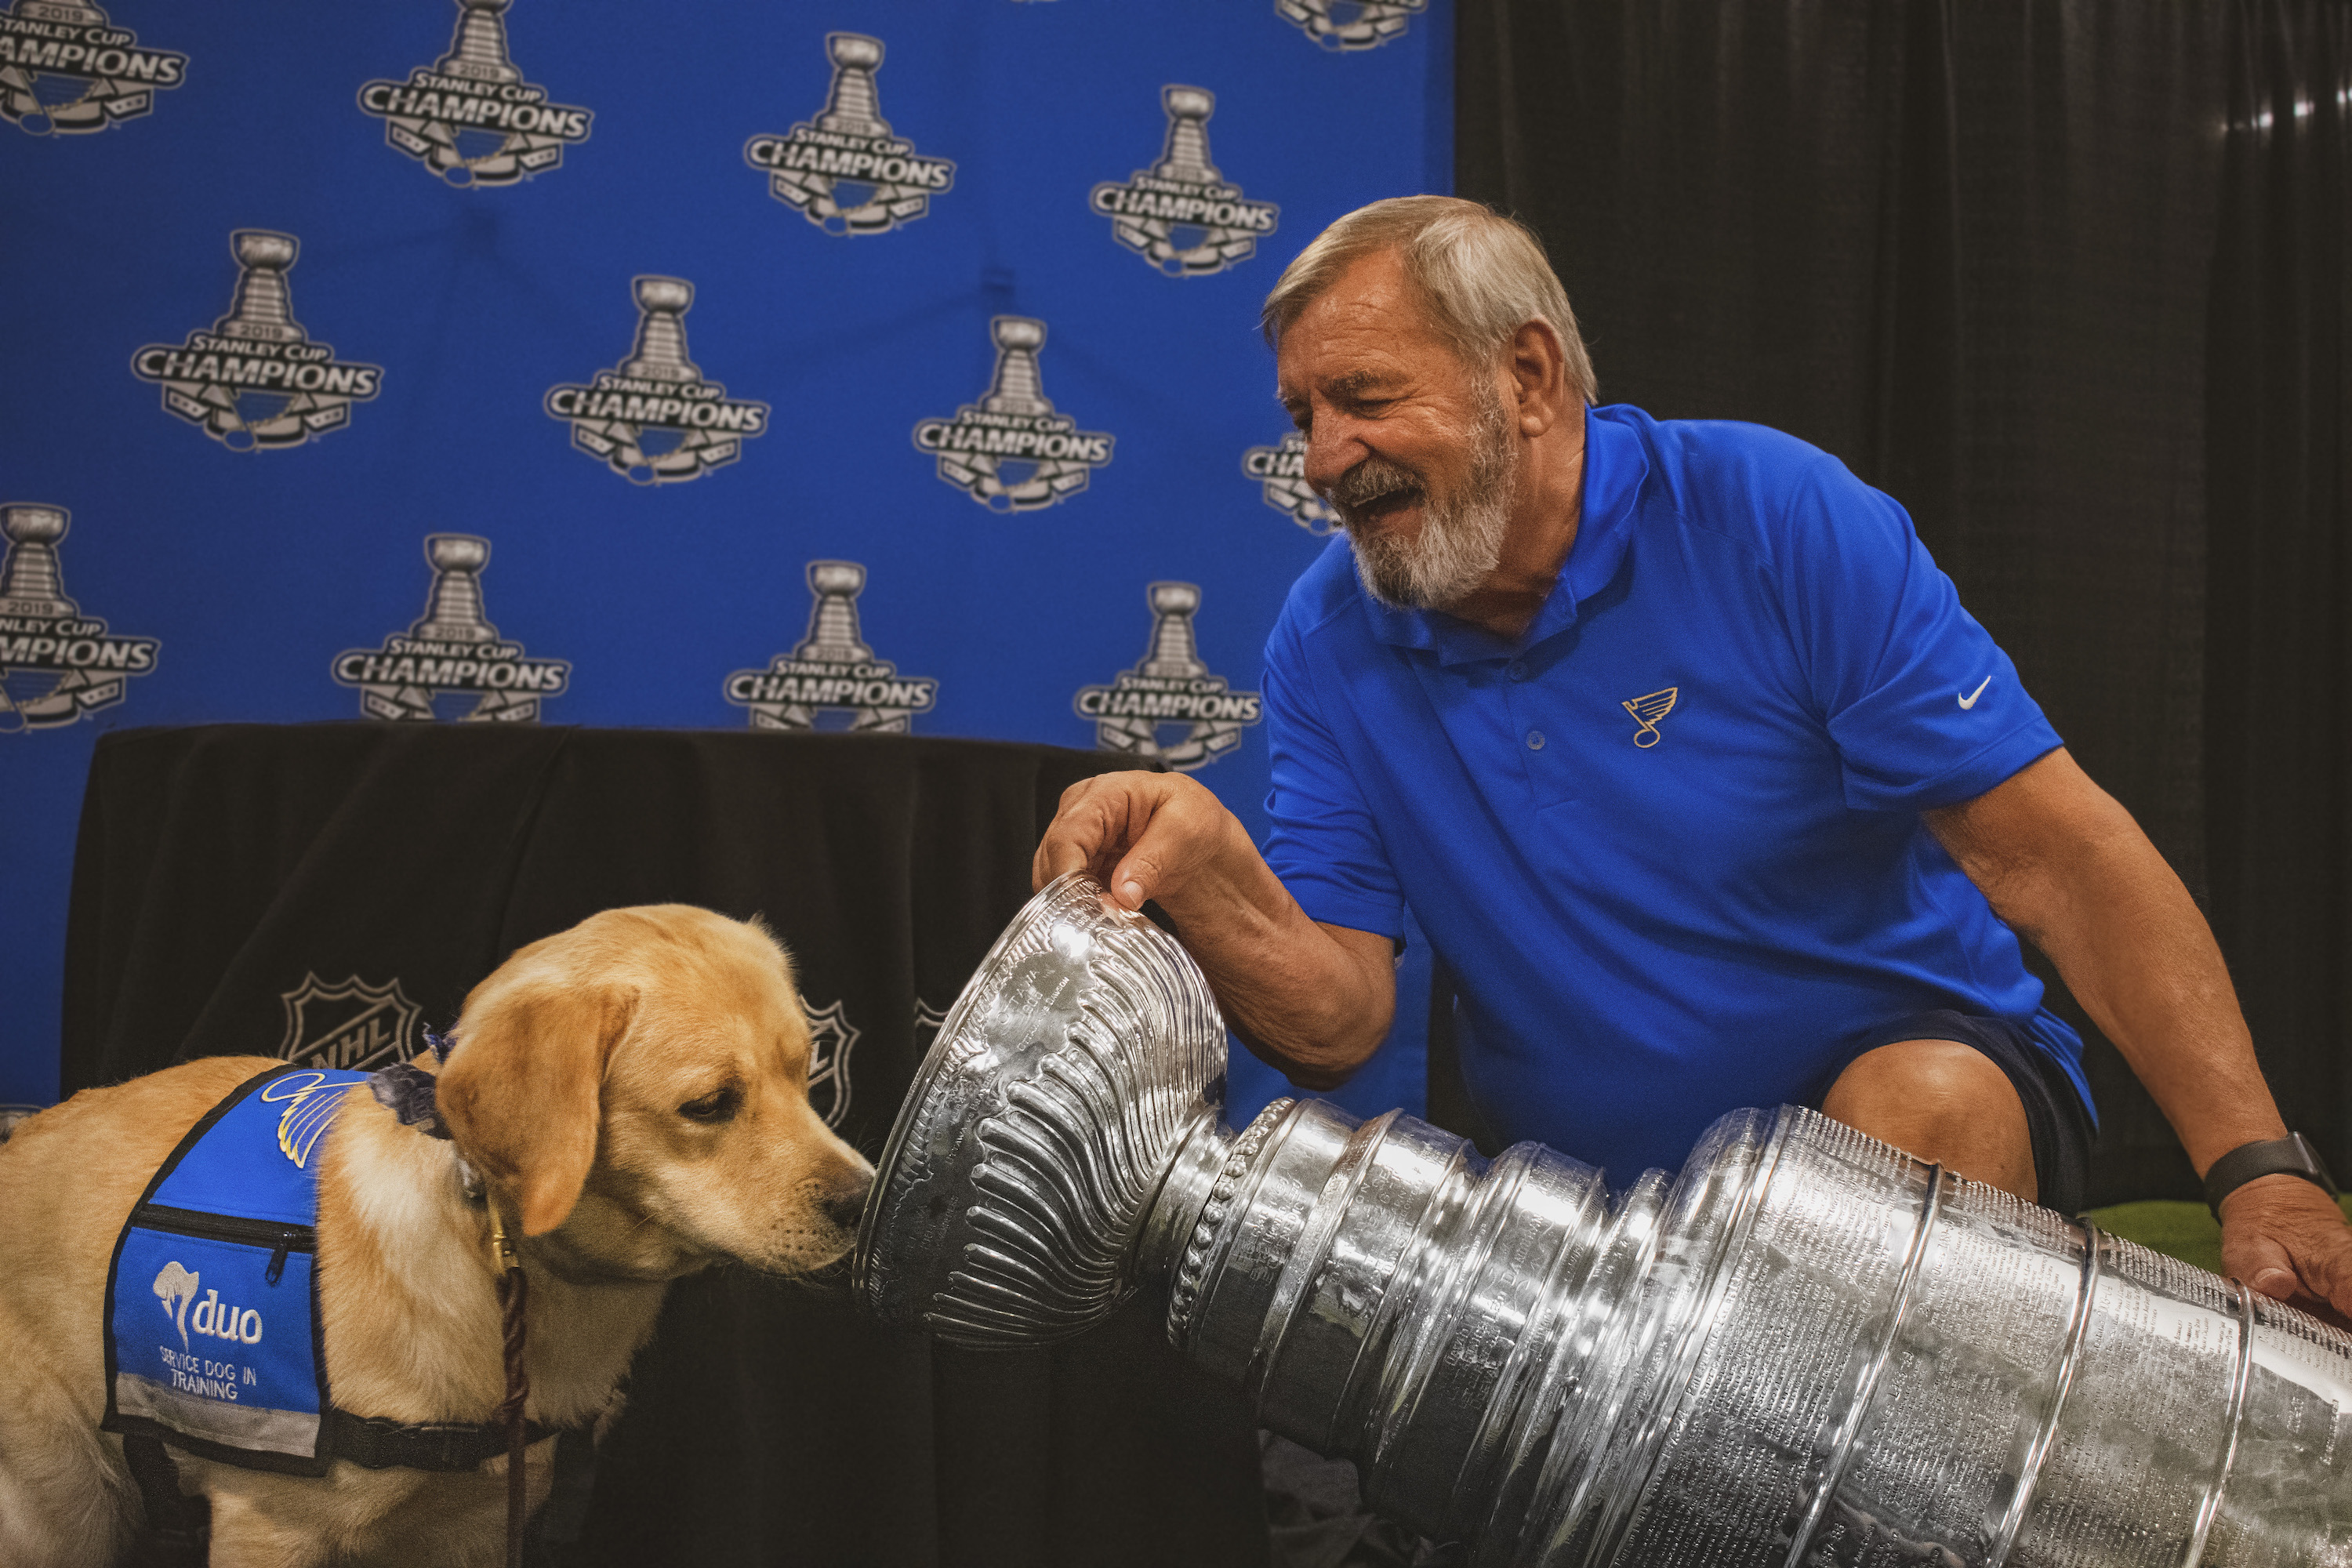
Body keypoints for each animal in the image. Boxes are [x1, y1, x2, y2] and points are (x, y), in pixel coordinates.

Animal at [0, 907, 875, 1568]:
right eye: (711, 1103)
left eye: (806, 1074)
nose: (866, 1202)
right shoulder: (268, 1523)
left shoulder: (476, 1527)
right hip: (61, 1511)